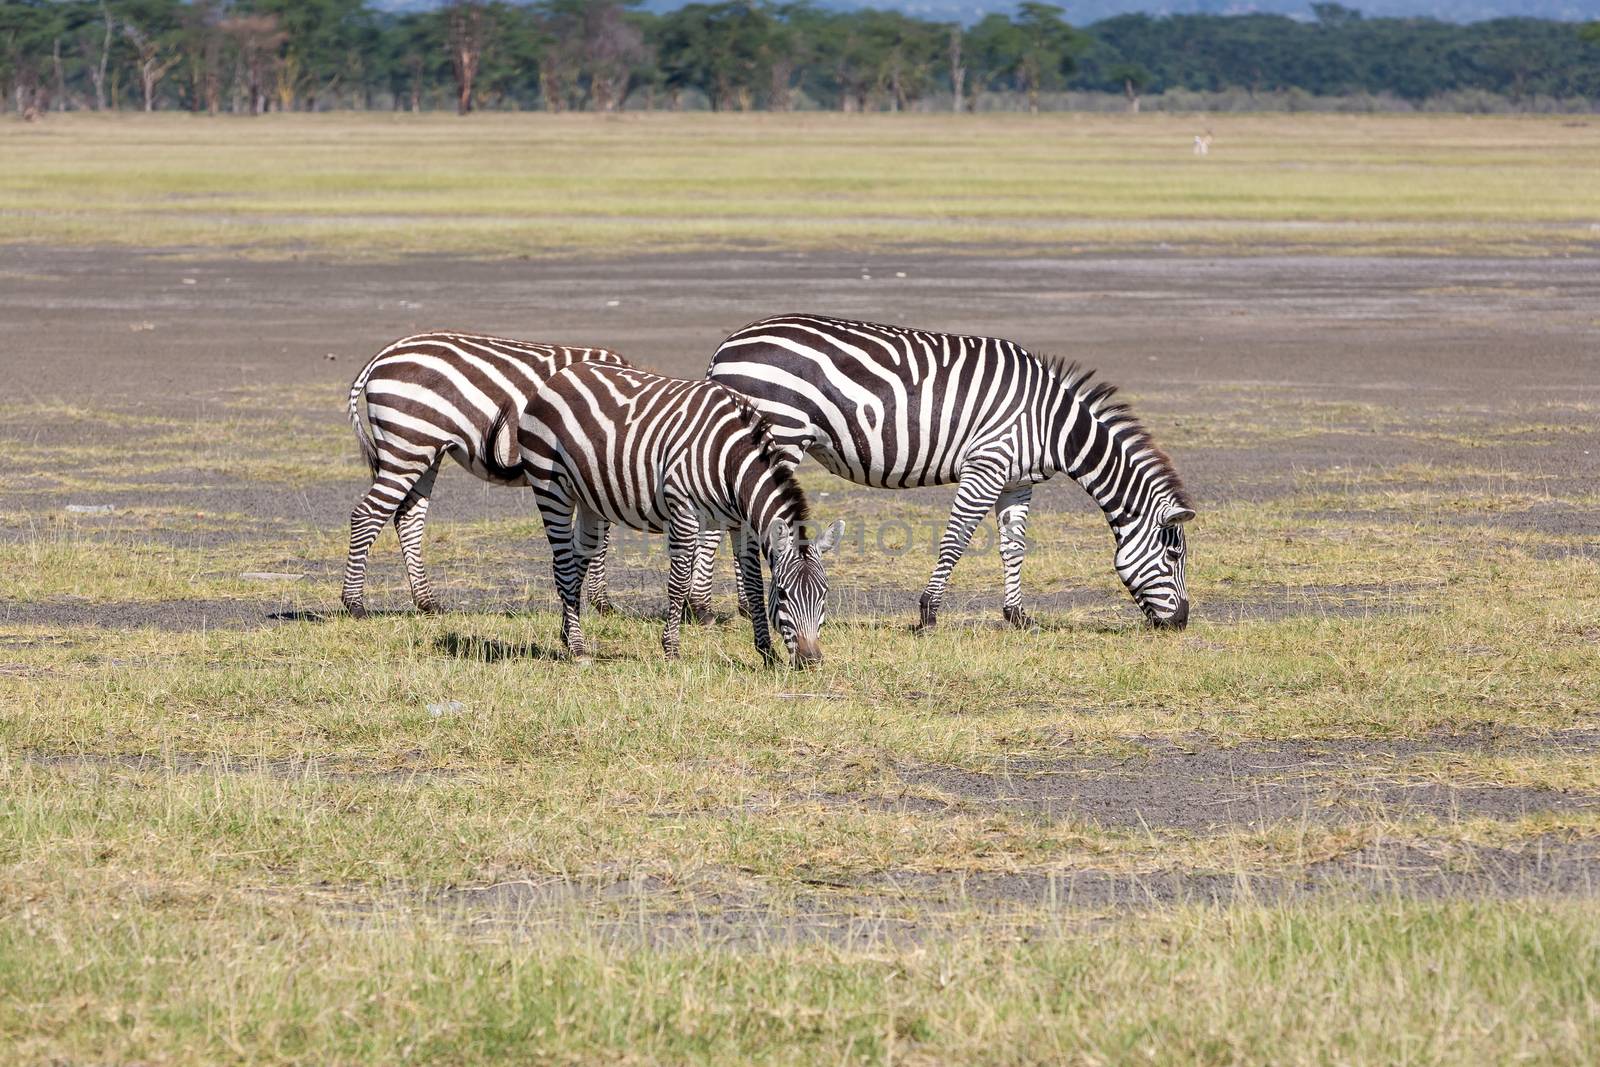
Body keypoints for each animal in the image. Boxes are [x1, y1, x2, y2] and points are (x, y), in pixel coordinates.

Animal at [342, 331, 624, 617]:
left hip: (425, 450)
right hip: (407, 446)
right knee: (367, 514)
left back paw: (428, 602)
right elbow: (599, 540)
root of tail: (383, 355)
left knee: (408, 519)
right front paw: (602, 603)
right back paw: (355, 604)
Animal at [480, 367, 844, 668]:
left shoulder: (741, 526)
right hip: (551, 487)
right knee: (565, 566)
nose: (811, 661)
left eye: (825, 594)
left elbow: (754, 586)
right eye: (783, 594)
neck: (731, 462)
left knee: (574, 564)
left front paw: (766, 653)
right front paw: (671, 650)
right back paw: (580, 651)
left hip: (590, 501)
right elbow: (679, 583)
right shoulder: (683, 513)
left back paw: (569, 638)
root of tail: (556, 378)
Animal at [700, 313, 1190, 630]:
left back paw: (732, 606)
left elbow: (1013, 547)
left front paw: (1018, 616)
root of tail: (726, 346)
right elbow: (956, 539)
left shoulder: (1017, 482)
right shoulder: (986, 465)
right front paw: (927, 612)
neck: (1052, 423)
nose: (1182, 622)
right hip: (779, 432)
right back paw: (706, 608)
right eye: (1174, 556)